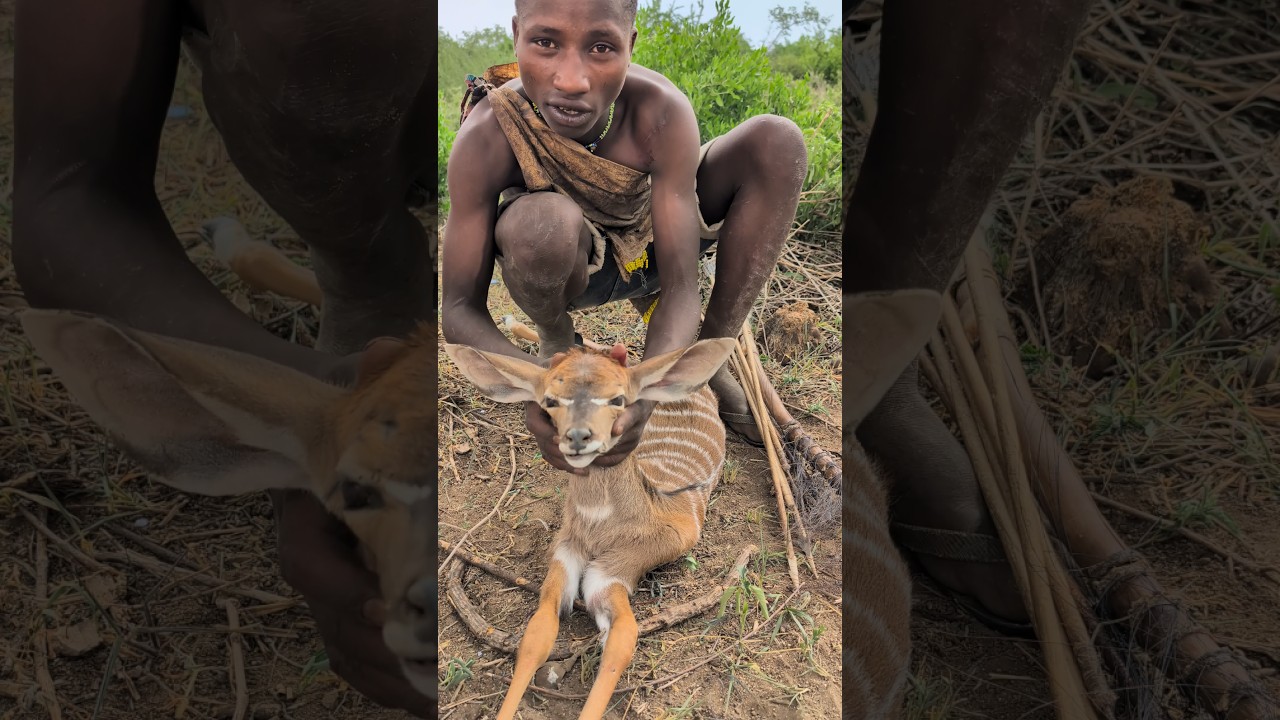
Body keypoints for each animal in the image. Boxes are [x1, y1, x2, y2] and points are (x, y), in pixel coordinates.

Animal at [444, 337, 738, 720]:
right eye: (550, 401)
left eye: (618, 399)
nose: (578, 436)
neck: (600, 524)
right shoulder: (565, 554)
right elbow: (536, 636)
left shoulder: (614, 572)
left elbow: (622, 642)